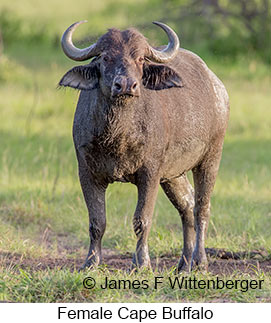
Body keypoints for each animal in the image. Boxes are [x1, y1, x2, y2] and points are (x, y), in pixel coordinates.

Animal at [59, 20, 230, 274]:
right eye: (106, 57)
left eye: (140, 59)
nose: (126, 85)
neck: (118, 135)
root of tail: (217, 87)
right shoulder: (87, 173)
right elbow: (97, 222)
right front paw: (91, 262)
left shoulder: (149, 173)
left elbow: (142, 220)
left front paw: (141, 263)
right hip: (173, 174)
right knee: (187, 205)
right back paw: (184, 263)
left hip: (211, 158)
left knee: (201, 207)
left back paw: (200, 261)